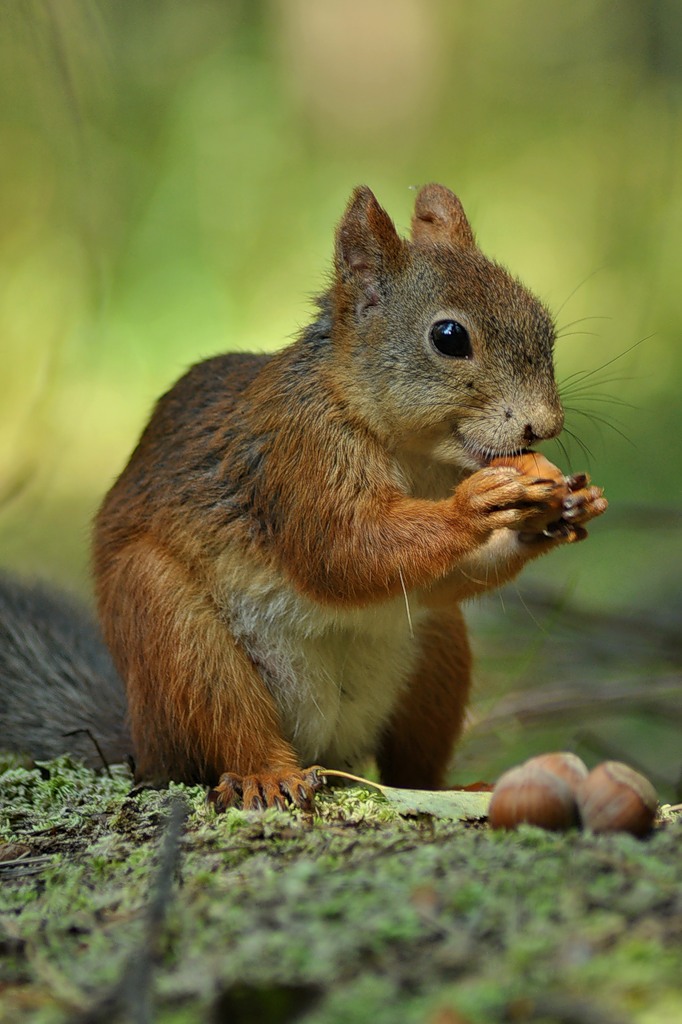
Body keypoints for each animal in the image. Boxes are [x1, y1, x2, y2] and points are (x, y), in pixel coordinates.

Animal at [1, 184, 606, 806]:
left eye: (543, 322)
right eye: (449, 338)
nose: (546, 425)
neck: (414, 453)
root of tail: (141, 747)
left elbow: (428, 576)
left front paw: (556, 515)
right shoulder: (298, 453)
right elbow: (344, 549)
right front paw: (477, 505)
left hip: (439, 649)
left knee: (412, 765)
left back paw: (458, 788)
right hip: (170, 629)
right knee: (228, 724)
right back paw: (268, 776)